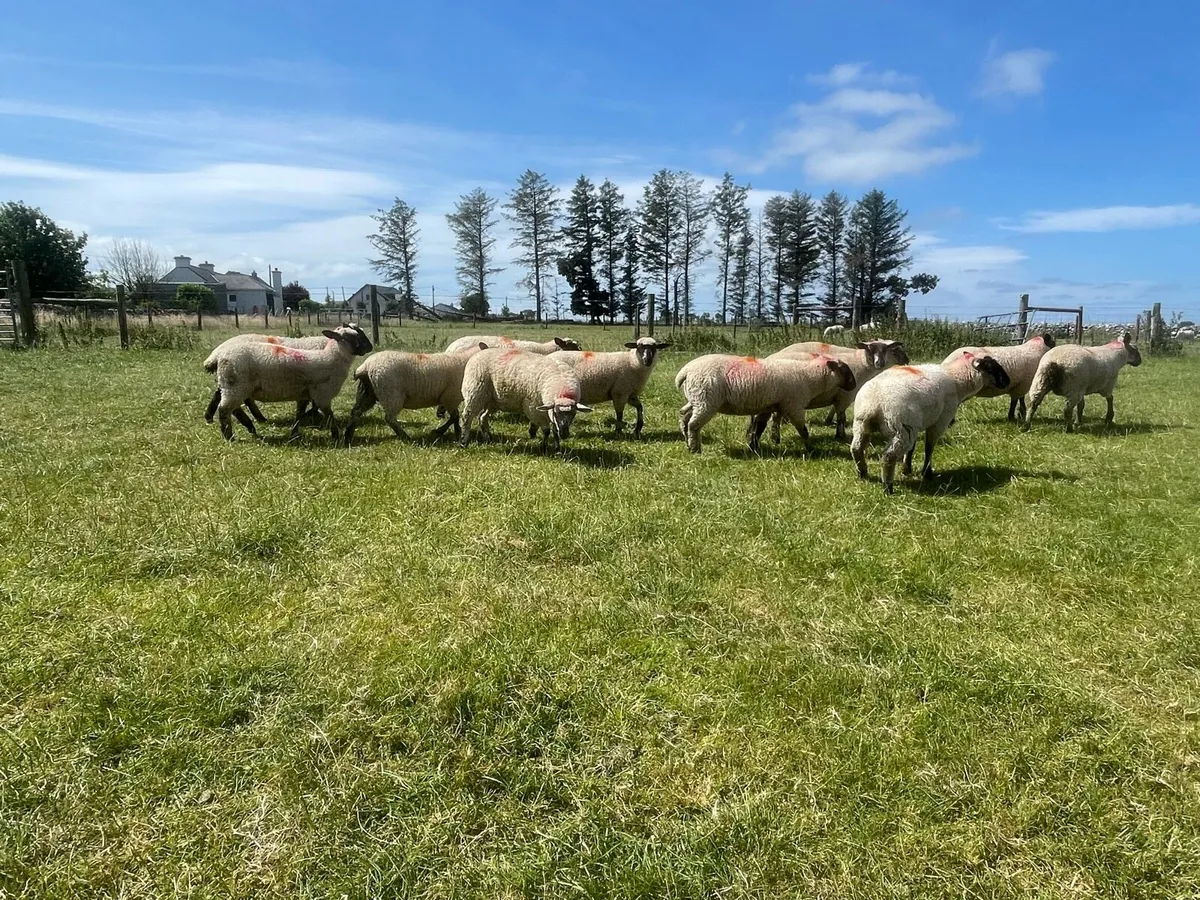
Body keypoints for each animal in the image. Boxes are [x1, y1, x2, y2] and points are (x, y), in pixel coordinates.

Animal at [343, 343, 489, 445]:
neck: (466, 359)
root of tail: (365, 367)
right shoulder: (449, 398)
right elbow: (455, 417)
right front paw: (448, 432)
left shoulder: (447, 399)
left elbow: (454, 417)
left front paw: (452, 431)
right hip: (391, 395)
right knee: (389, 418)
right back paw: (405, 437)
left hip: (367, 393)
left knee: (355, 412)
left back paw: (348, 436)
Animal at [459, 348, 593, 451]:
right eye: (556, 412)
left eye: (574, 414)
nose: (565, 435)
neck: (562, 389)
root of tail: (477, 354)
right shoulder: (533, 408)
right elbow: (546, 431)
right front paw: (544, 447)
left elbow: (555, 431)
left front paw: (557, 449)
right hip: (475, 392)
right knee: (467, 417)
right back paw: (463, 442)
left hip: (492, 400)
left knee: (482, 417)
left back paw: (488, 438)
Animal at [675, 353, 857, 454]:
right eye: (845, 369)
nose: (854, 385)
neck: (810, 376)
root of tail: (685, 371)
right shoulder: (795, 406)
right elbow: (803, 430)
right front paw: (811, 449)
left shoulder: (767, 406)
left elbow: (759, 428)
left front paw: (753, 447)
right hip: (706, 401)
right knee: (693, 425)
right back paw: (695, 449)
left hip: (696, 398)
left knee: (684, 417)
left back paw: (687, 443)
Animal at [763, 339, 910, 440]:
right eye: (869, 349)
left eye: (885, 350)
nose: (879, 363)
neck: (862, 364)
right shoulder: (844, 396)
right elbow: (841, 418)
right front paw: (840, 435)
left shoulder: (840, 397)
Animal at [850, 353, 1011, 494]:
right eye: (990, 367)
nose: (1007, 382)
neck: (957, 381)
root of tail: (873, 403)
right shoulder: (939, 422)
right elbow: (929, 448)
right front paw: (927, 473)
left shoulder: (916, 425)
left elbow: (912, 450)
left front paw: (906, 470)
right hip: (901, 429)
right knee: (889, 457)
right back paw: (888, 488)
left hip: (862, 424)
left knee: (856, 449)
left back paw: (863, 473)